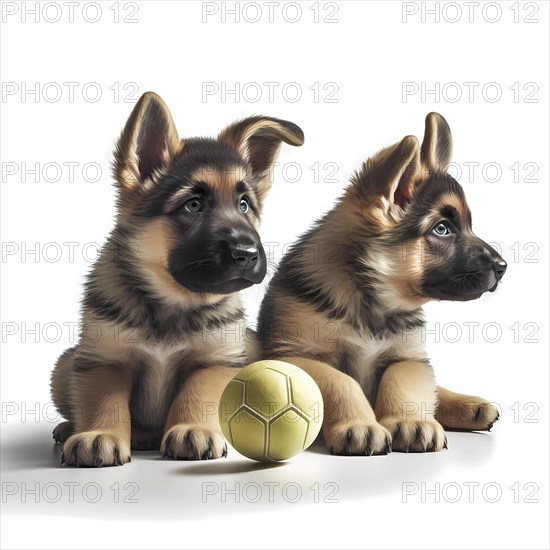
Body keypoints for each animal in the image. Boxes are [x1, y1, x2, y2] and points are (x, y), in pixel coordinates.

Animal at [49, 92, 304, 468]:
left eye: (244, 205)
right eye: (193, 205)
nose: (248, 255)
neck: (173, 300)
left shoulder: (215, 360)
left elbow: (196, 395)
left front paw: (192, 429)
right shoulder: (104, 359)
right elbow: (104, 401)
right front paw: (99, 435)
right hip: (64, 366)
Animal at [258, 113, 508, 458]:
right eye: (442, 228)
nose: (503, 267)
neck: (370, 299)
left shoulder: (409, 356)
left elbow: (403, 381)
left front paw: (410, 422)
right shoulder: (296, 356)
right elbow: (340, 382)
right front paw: (361, 425)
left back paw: (467, 405)